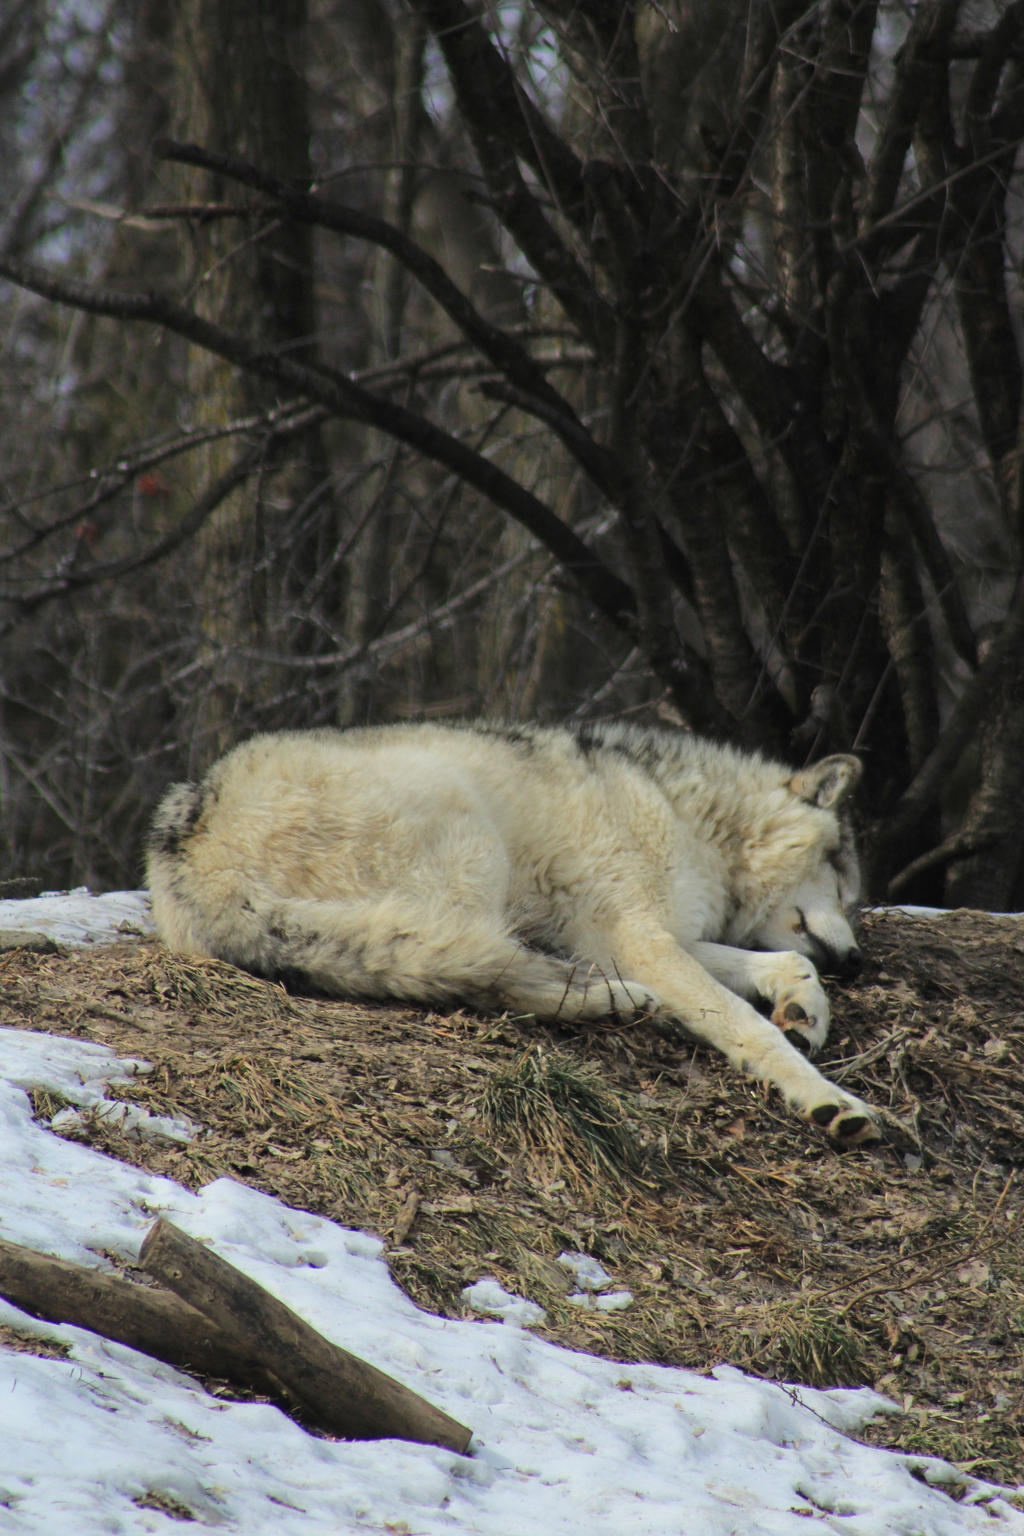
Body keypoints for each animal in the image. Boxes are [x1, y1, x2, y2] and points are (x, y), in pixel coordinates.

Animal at [148, 724, 878, 1148]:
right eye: (847, 882)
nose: (855, 960)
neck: (688, 815)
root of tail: (190, 843)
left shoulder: (645, 937)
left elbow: (785, 962)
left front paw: (806, 1010)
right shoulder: (642, 939)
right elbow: (747, 1025)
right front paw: (829, 1099)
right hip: (469, 841)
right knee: (482, 976)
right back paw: (614, 1001)